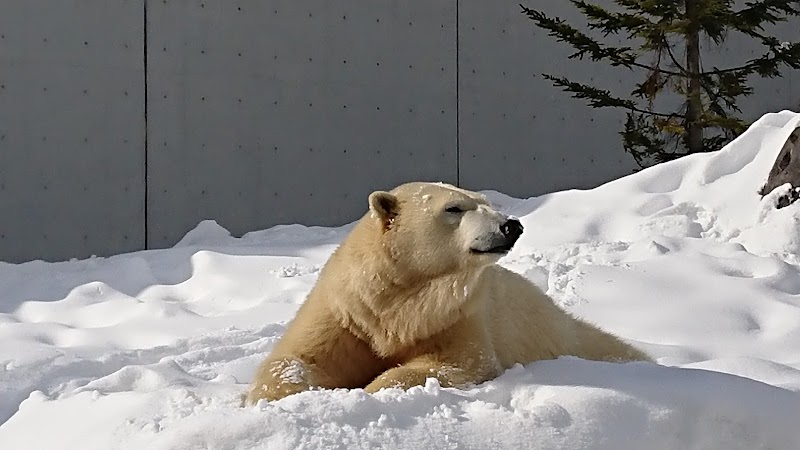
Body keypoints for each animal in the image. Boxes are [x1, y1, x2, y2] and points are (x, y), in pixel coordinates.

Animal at [245, 182, 648, 404]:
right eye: (454, 207)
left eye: (487, 202)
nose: (511, 225)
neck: (399, 297)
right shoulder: (350, 311)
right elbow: (299, 357)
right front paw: (264, 397)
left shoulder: (453, 314)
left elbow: (456, 362)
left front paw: (373, 389)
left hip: (563, 335)